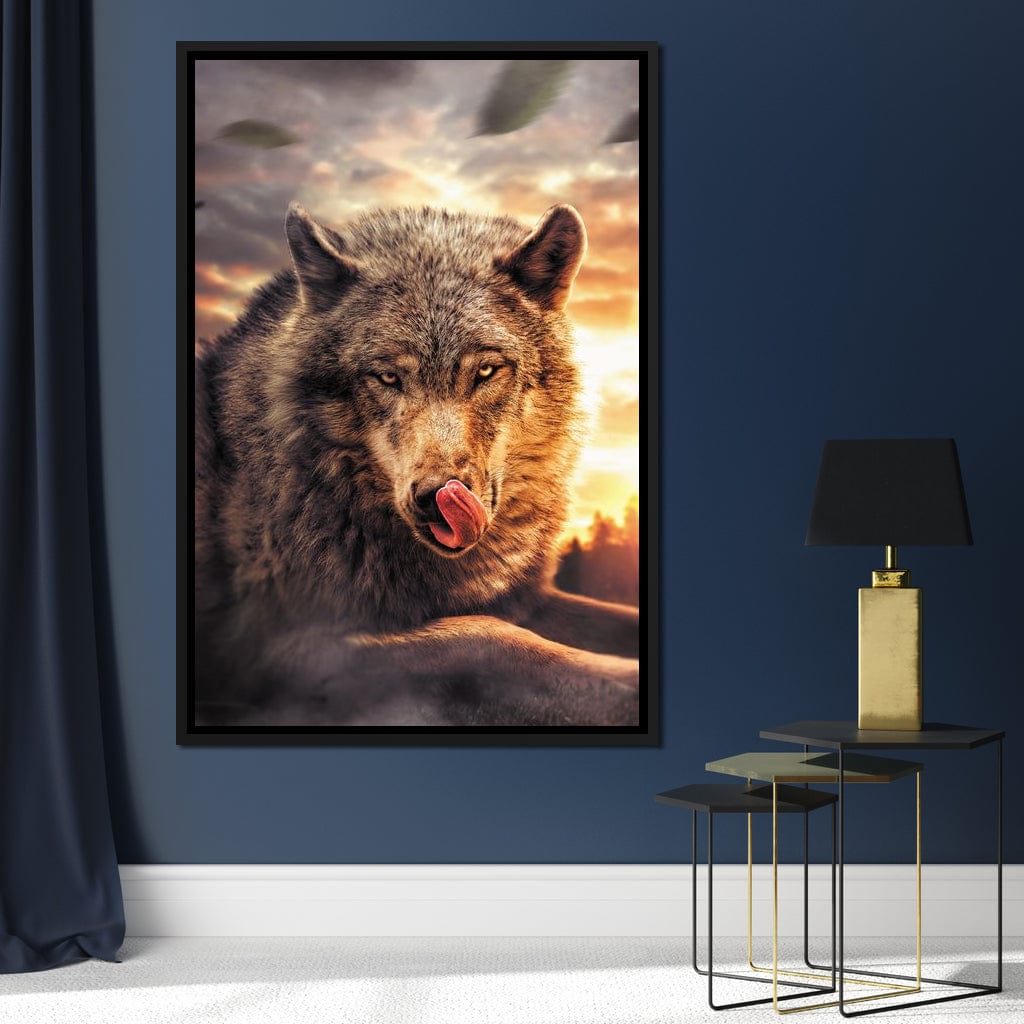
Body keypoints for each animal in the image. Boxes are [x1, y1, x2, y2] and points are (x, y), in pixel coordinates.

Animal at [194, 201, 640, 727]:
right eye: (388, 377)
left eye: (486, 371)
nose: (436, 498)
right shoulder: (285, 651)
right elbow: (488, 640)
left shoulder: (524, 599)